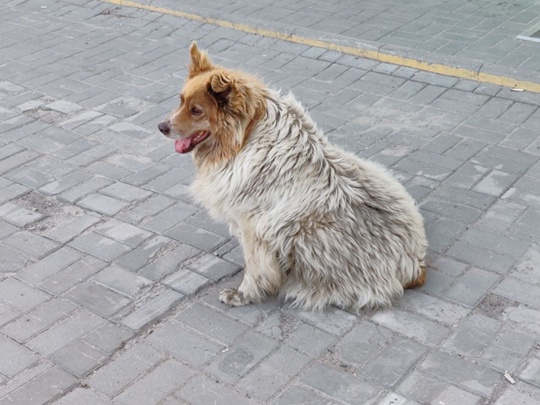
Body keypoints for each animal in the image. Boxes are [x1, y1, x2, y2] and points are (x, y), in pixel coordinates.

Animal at [158, 42, 428, 310]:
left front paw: (244, 294)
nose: (161, 127)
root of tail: (415, 267)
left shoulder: (254, 225)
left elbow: (254, 267)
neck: (247, 136)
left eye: (196, 111)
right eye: (180, 101)